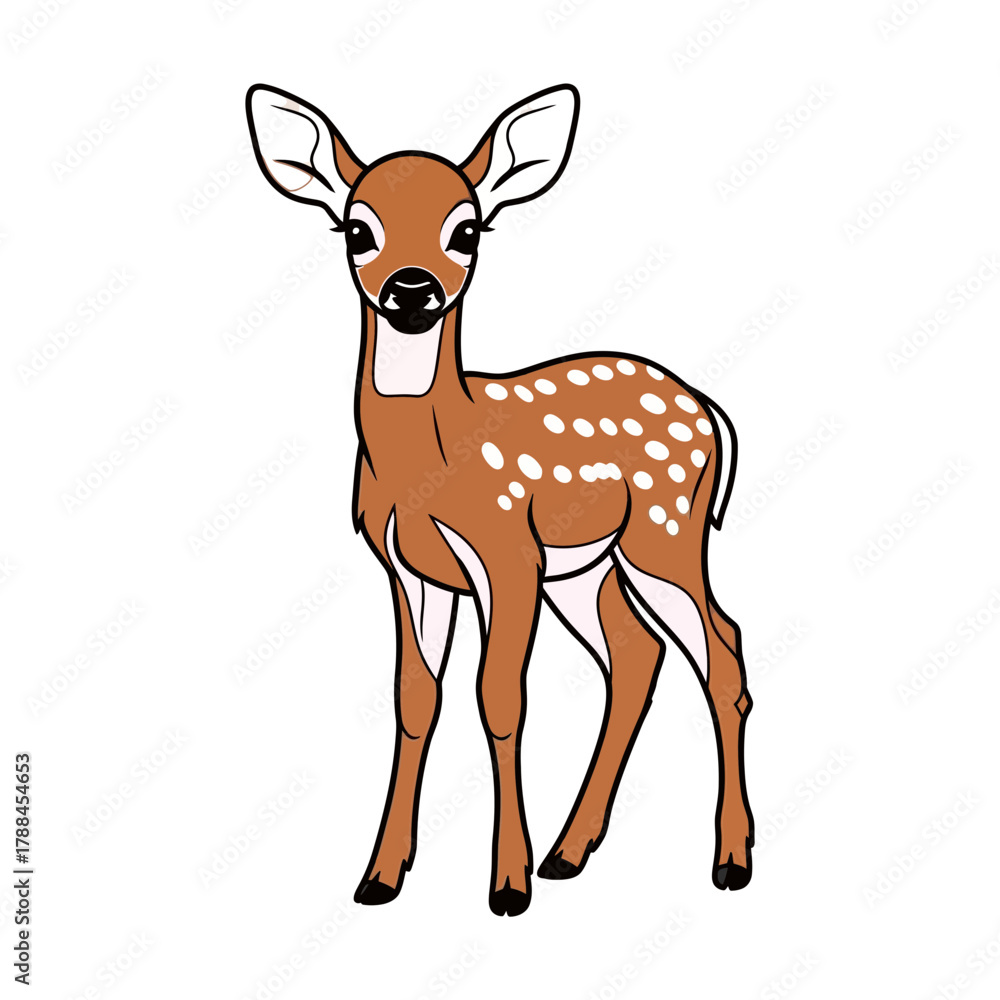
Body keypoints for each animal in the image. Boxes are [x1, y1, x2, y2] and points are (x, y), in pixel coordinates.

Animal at [246, 82, 754, 916]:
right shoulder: (408, 568)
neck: (430, 464)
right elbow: (415, 700)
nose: (411, 289)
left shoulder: (506, 549)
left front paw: (507, 886)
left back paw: (729, 861)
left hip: (665, 528)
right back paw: (569, 853)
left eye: (467, 229)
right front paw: (381, 876)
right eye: (357, 228)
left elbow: (500, 698)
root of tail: (709, 410)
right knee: (636, 654)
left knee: (722, 650)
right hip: (587, 567)